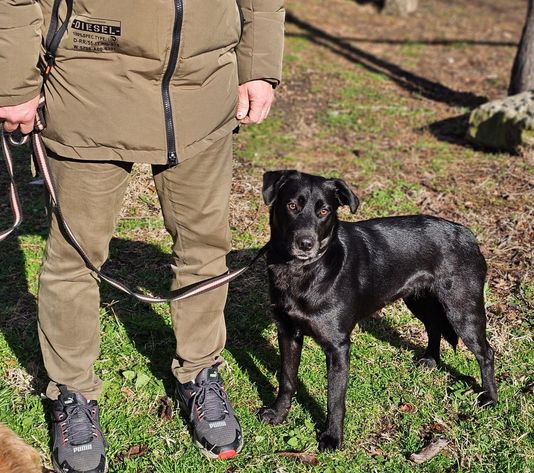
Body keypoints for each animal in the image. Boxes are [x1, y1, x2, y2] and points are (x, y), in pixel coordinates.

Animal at [260, 170, 498, 450]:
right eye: (291, 206)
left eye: (324, 211)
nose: (306, 243)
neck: (303, 272)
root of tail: (469, 234)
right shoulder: (287, 332)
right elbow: (286, 380)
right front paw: (278, 414)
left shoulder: (338, 346)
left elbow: (335, 399)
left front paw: (332, 437)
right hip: (418, 300)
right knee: (434, 326)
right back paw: (430, 360)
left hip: (463, 310)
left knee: (486, 352)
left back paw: (490, 398)